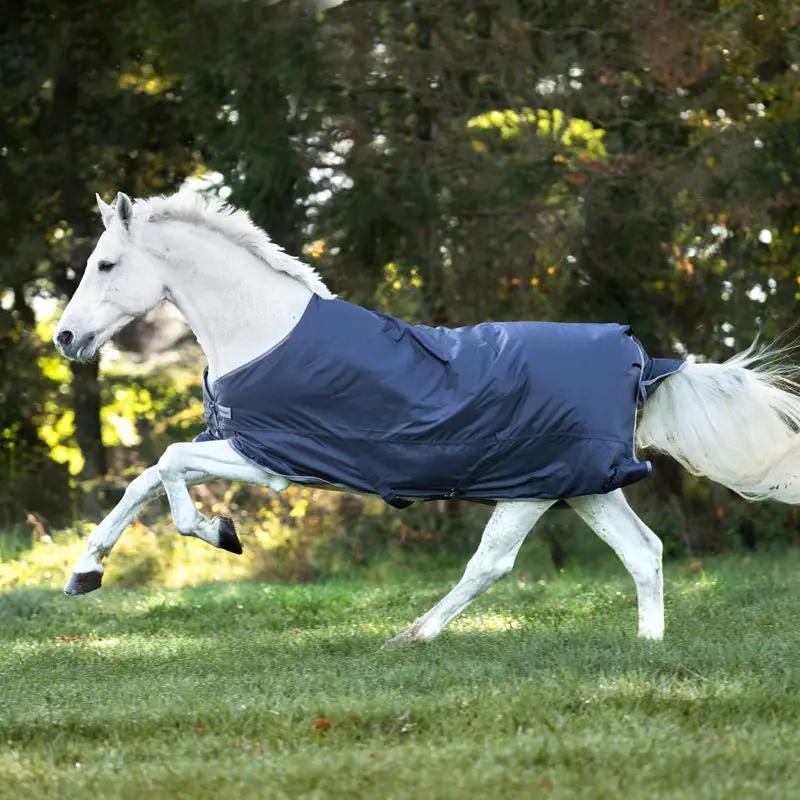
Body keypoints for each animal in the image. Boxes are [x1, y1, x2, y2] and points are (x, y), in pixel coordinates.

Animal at [53, 190, 800, 645]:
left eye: (106, 263)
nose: (63, 338)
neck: (267, 331)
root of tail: (641, 363)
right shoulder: (239, 445)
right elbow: (146, 478)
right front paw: (84, 574)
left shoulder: (268, 459)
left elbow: (167, 466)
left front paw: (218, 532)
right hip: (583, 486)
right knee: (643, 552)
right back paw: (648, 648)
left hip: (530, 489)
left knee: (491, 564)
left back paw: (410, 635)